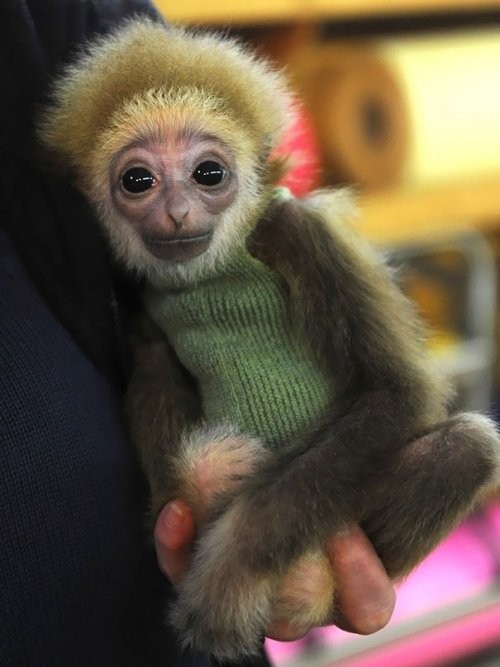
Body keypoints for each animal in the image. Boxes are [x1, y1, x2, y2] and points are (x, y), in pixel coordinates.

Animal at [41, 17, 500, 664]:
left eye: (208, 174)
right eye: (138, 180)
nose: (176, 211)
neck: (216, 270)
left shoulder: (300, 232)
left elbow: (397, 394)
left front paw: (231, 571)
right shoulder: (150, 296)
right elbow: (156, 365)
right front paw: (183, 507)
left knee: (466, 448)